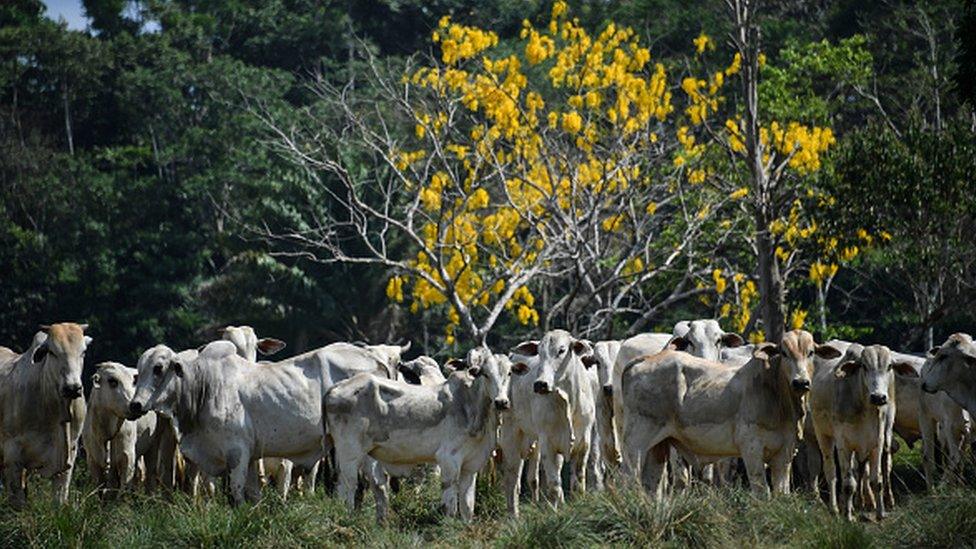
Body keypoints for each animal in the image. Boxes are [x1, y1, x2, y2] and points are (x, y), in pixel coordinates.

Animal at [0, 324, 89, 508]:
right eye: (52, 352)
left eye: (83, 351)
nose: (72, 388)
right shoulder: (12, 454)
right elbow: (17, 501)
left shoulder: (69, 454)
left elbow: (59, 500)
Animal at [326, 344, 510, 520]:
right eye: (484, 373)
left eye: (509, 373)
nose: (501, 402)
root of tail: (335, 388)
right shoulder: (447, 460)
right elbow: (450, 506)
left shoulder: (470, 467)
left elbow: (467, 507)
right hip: (349, 453)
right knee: (348, 486)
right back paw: (348, 519)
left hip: (365, 456)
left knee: (375, 486)